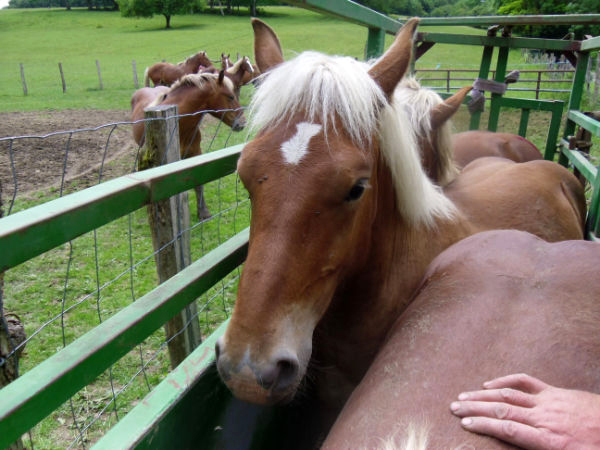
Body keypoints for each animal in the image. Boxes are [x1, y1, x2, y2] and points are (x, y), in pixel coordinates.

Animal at [132, 69, 246, 219]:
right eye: (231, 96)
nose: (243, 122)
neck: (180, 125)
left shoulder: (195, 153)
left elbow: (198, 184)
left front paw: (203, 212)